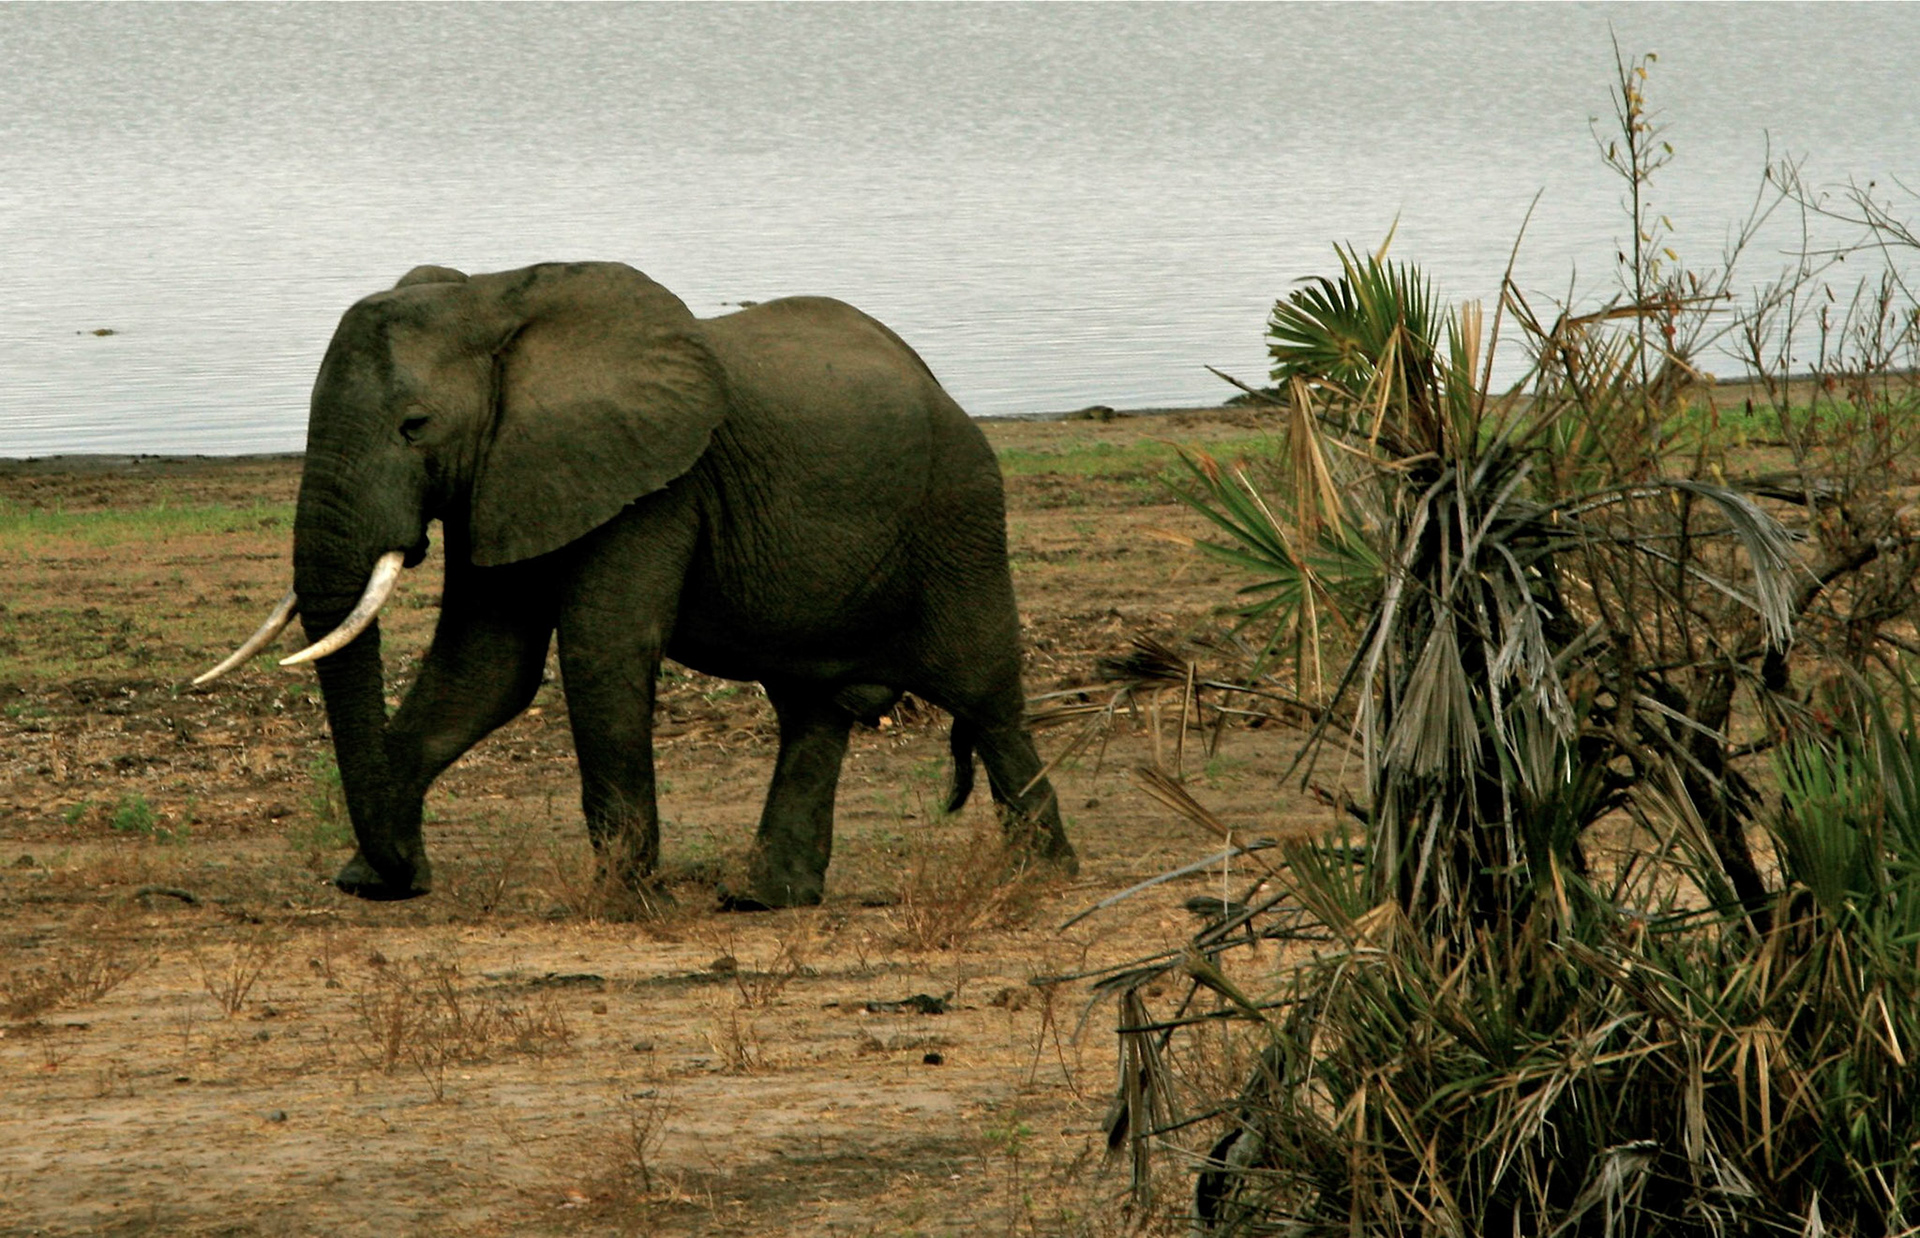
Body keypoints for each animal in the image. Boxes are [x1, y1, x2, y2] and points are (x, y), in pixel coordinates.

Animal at [195, 261, 1075, 907]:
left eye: (415, 427)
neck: (495, 302)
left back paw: (1041, 877)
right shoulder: (510, 474)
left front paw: (626, 901)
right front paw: (371, 883)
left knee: (987, 700)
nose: (398, 876)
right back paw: (763, 900)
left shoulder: (653, 485)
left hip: (960, 516)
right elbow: (485, 669)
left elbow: (602, 649)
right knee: (812, 712)